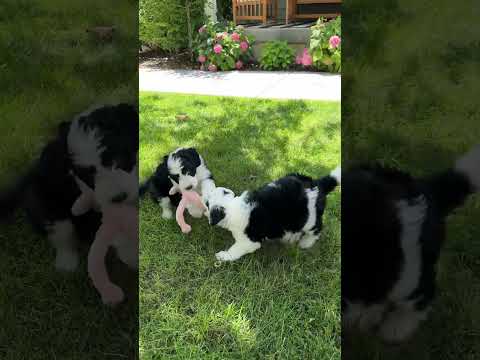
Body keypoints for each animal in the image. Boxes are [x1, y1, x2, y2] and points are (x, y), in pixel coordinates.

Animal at [0, 105, 139, 272]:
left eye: (120, 157)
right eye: (87, 174)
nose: (119, 197)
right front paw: (131, 254)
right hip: (40, 197)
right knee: (62, 230)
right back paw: (66, 263)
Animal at [204, 169, 340, 262]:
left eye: (207, 203)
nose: (203, 200)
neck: (231, 206)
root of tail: (317, 184)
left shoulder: (248, 241)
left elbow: (235, 250)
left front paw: (223, 256)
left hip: (308, 219)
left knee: (317, 229)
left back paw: (306, 243)